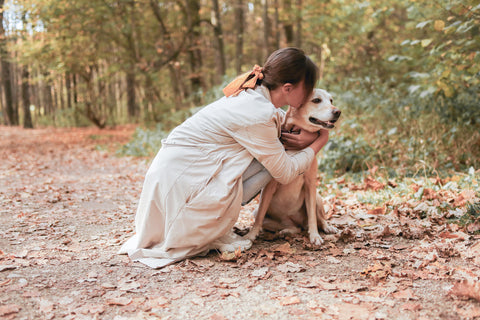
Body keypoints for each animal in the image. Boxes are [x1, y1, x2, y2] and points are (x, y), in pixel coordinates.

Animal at [244, 89, 342, 246]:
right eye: (316, 100)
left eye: (331, 100)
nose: (338, 112)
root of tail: (298, 223)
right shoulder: (268, 187)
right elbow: (259, 217)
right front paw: (251, 235)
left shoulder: (310, 185)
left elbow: (313, 217)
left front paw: (315, 236)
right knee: (294, 228)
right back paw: (285, 231)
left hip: (317, 197)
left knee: (319, 219)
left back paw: (327, 227)